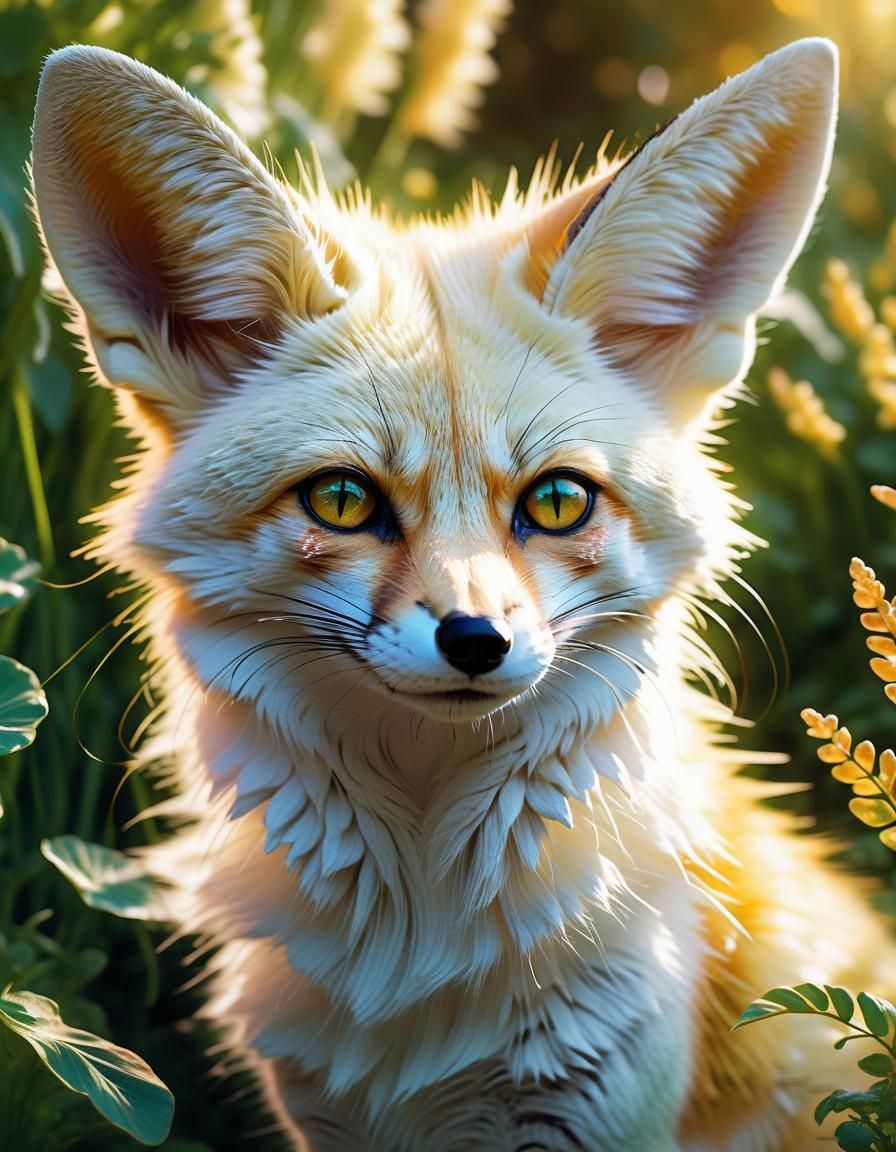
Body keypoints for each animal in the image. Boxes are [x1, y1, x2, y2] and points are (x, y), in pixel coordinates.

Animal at [28, 35, 895, 1152]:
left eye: (558, 502)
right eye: (344, 500)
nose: (476, 639)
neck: (422, 927)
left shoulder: (595, 1105)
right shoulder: (325, 1110)